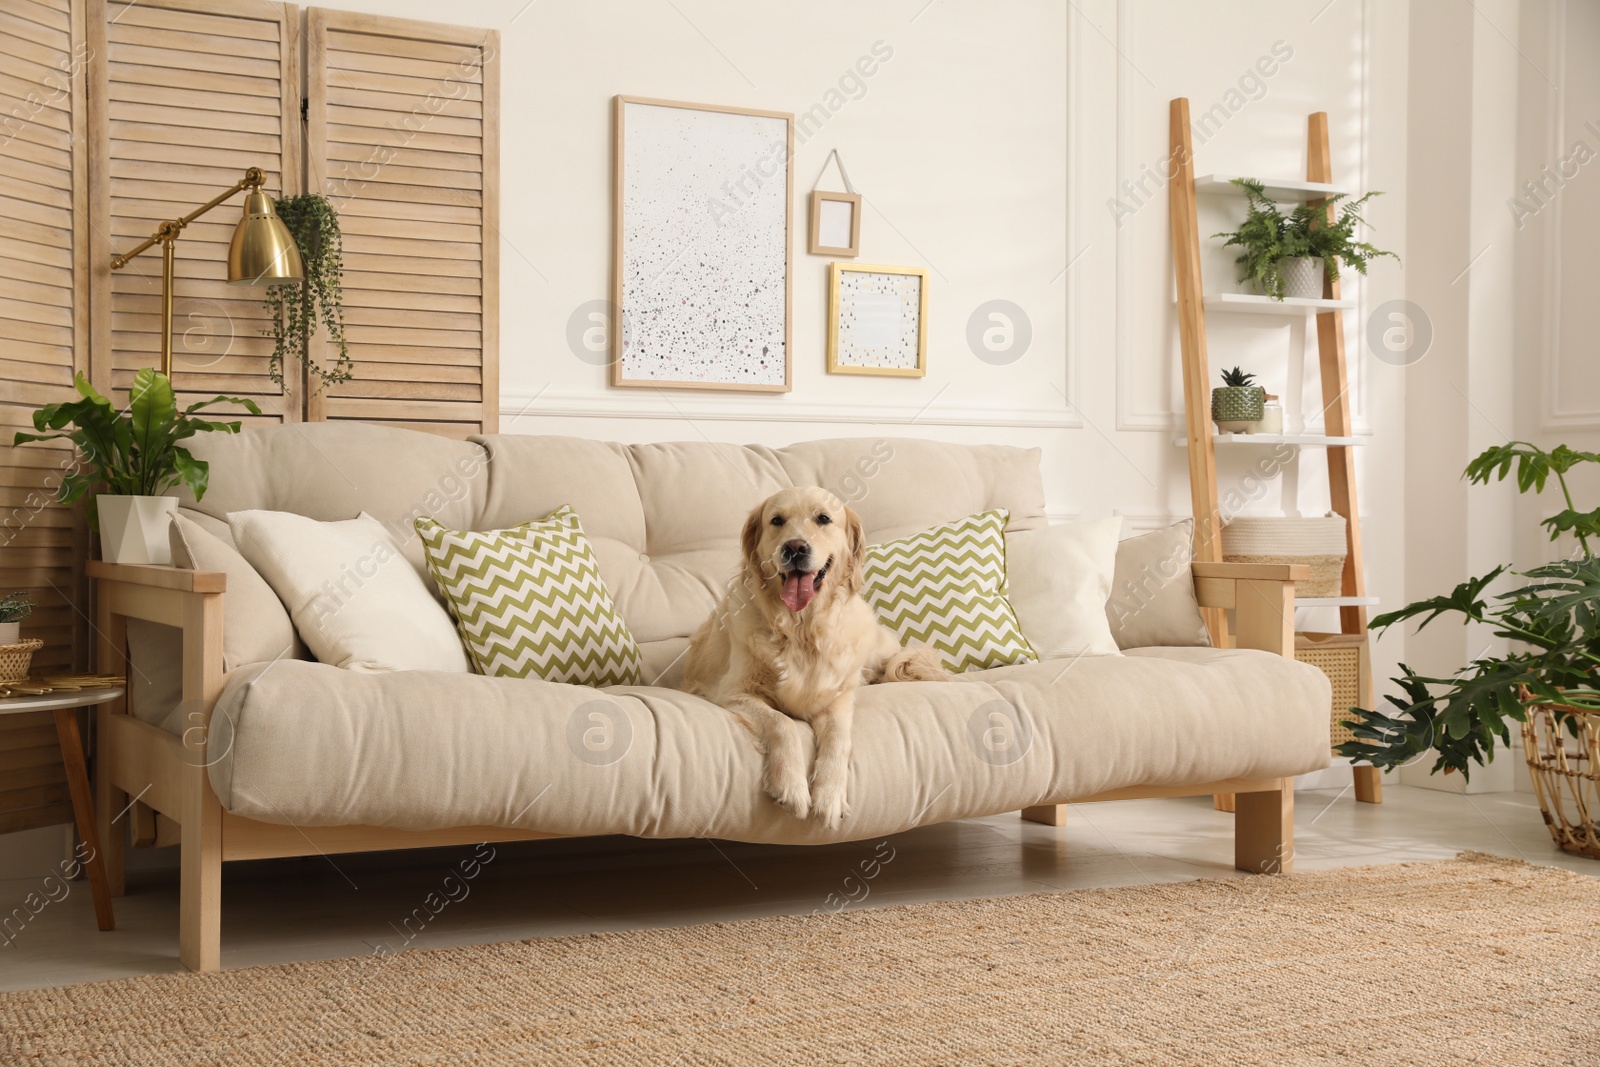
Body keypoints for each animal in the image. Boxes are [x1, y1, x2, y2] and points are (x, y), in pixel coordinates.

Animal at [681, 489, 940, 831]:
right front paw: (791, 788)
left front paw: (829, 797)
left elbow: (839, 739)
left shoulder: (836, 699)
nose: (795, 548)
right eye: (777, 520)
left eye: (823, 518)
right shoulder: (733, 693)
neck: (801, 630)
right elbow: (783, 724)